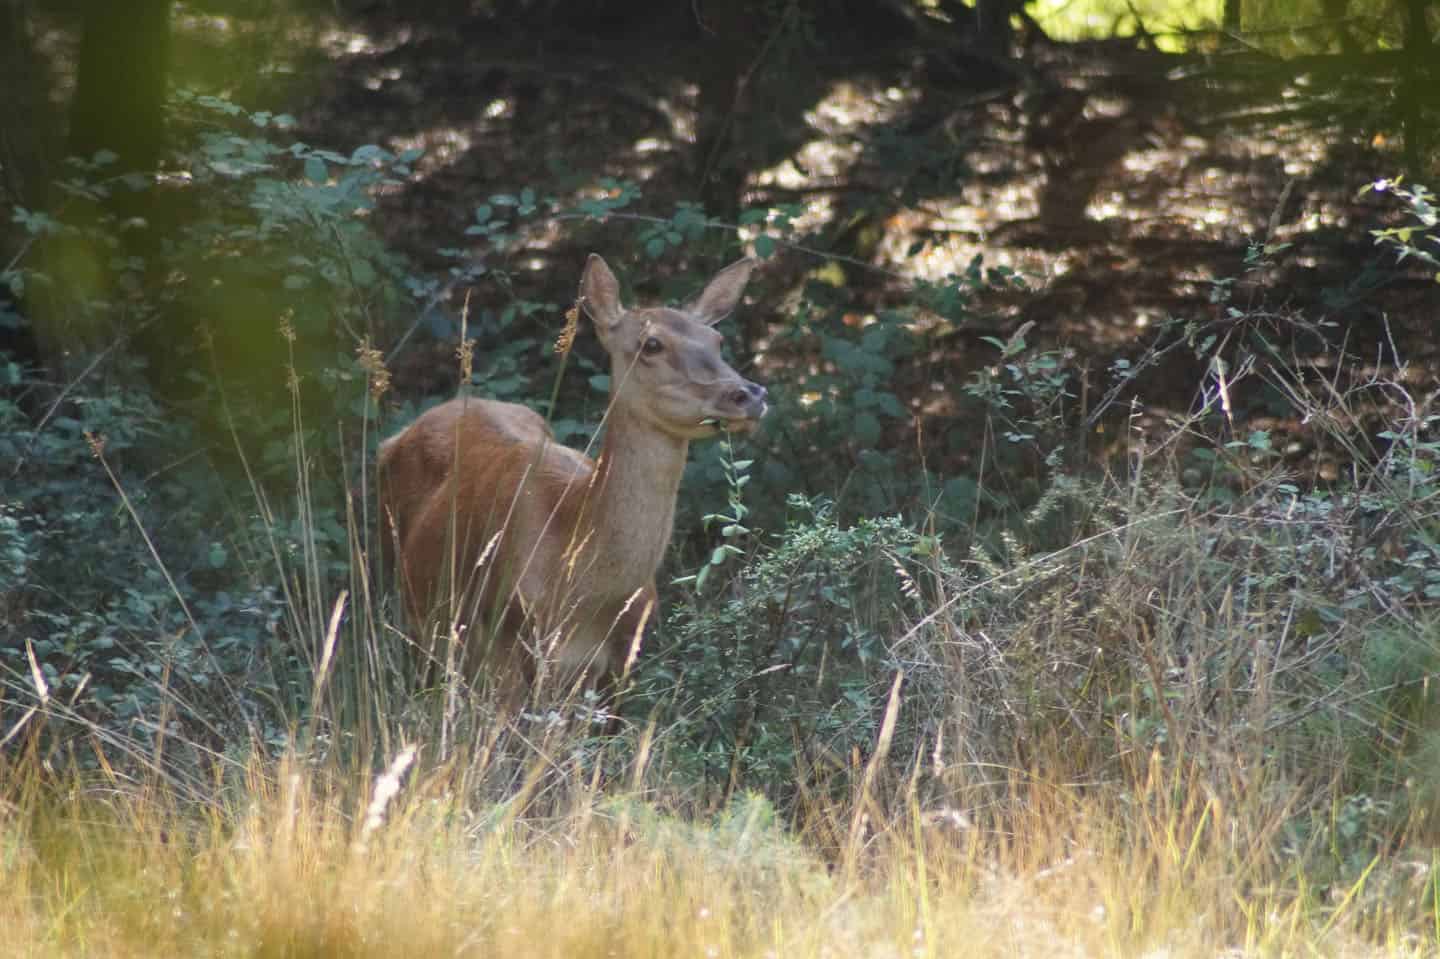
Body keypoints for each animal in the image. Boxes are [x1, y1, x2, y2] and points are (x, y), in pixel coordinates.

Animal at [380, 253, 766, 717]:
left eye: (717, 340)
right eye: (651, 344)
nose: (749, 394)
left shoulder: (624, 657)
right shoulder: (507, 641)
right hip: (414, 610)